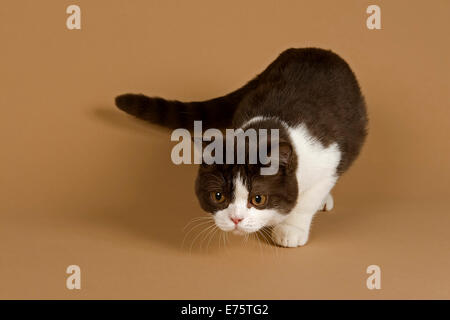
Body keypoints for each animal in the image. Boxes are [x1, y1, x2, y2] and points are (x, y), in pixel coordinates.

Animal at [114, 47, 368, 248]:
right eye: (218, 196)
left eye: (258, 199)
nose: (236, 219)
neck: (266, 130)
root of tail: (315, 50)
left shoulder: (328, 155)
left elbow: (307, 200)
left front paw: (291, 229)